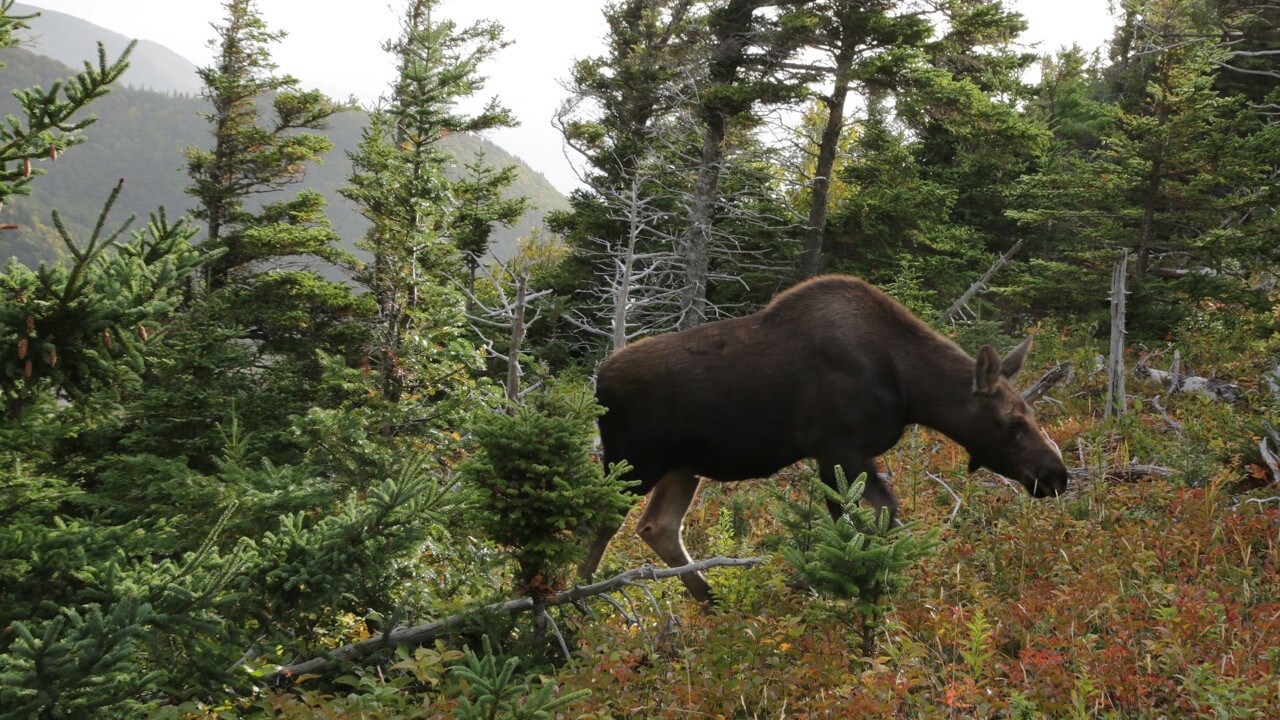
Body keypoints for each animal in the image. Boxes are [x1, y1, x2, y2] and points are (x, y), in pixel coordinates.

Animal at [581, 271, 1070, 597]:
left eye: (1032, 413)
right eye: (1013, 423)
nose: (1057, 475)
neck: (909, 387)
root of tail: (598, 382)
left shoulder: (856, 455)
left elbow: (887, 517)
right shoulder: (836, 449)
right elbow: (851, 531)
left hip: (683, 466)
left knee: (657, 526)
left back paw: (713, 601)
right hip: (631, 462)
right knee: (599, 524)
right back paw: (573, 612)